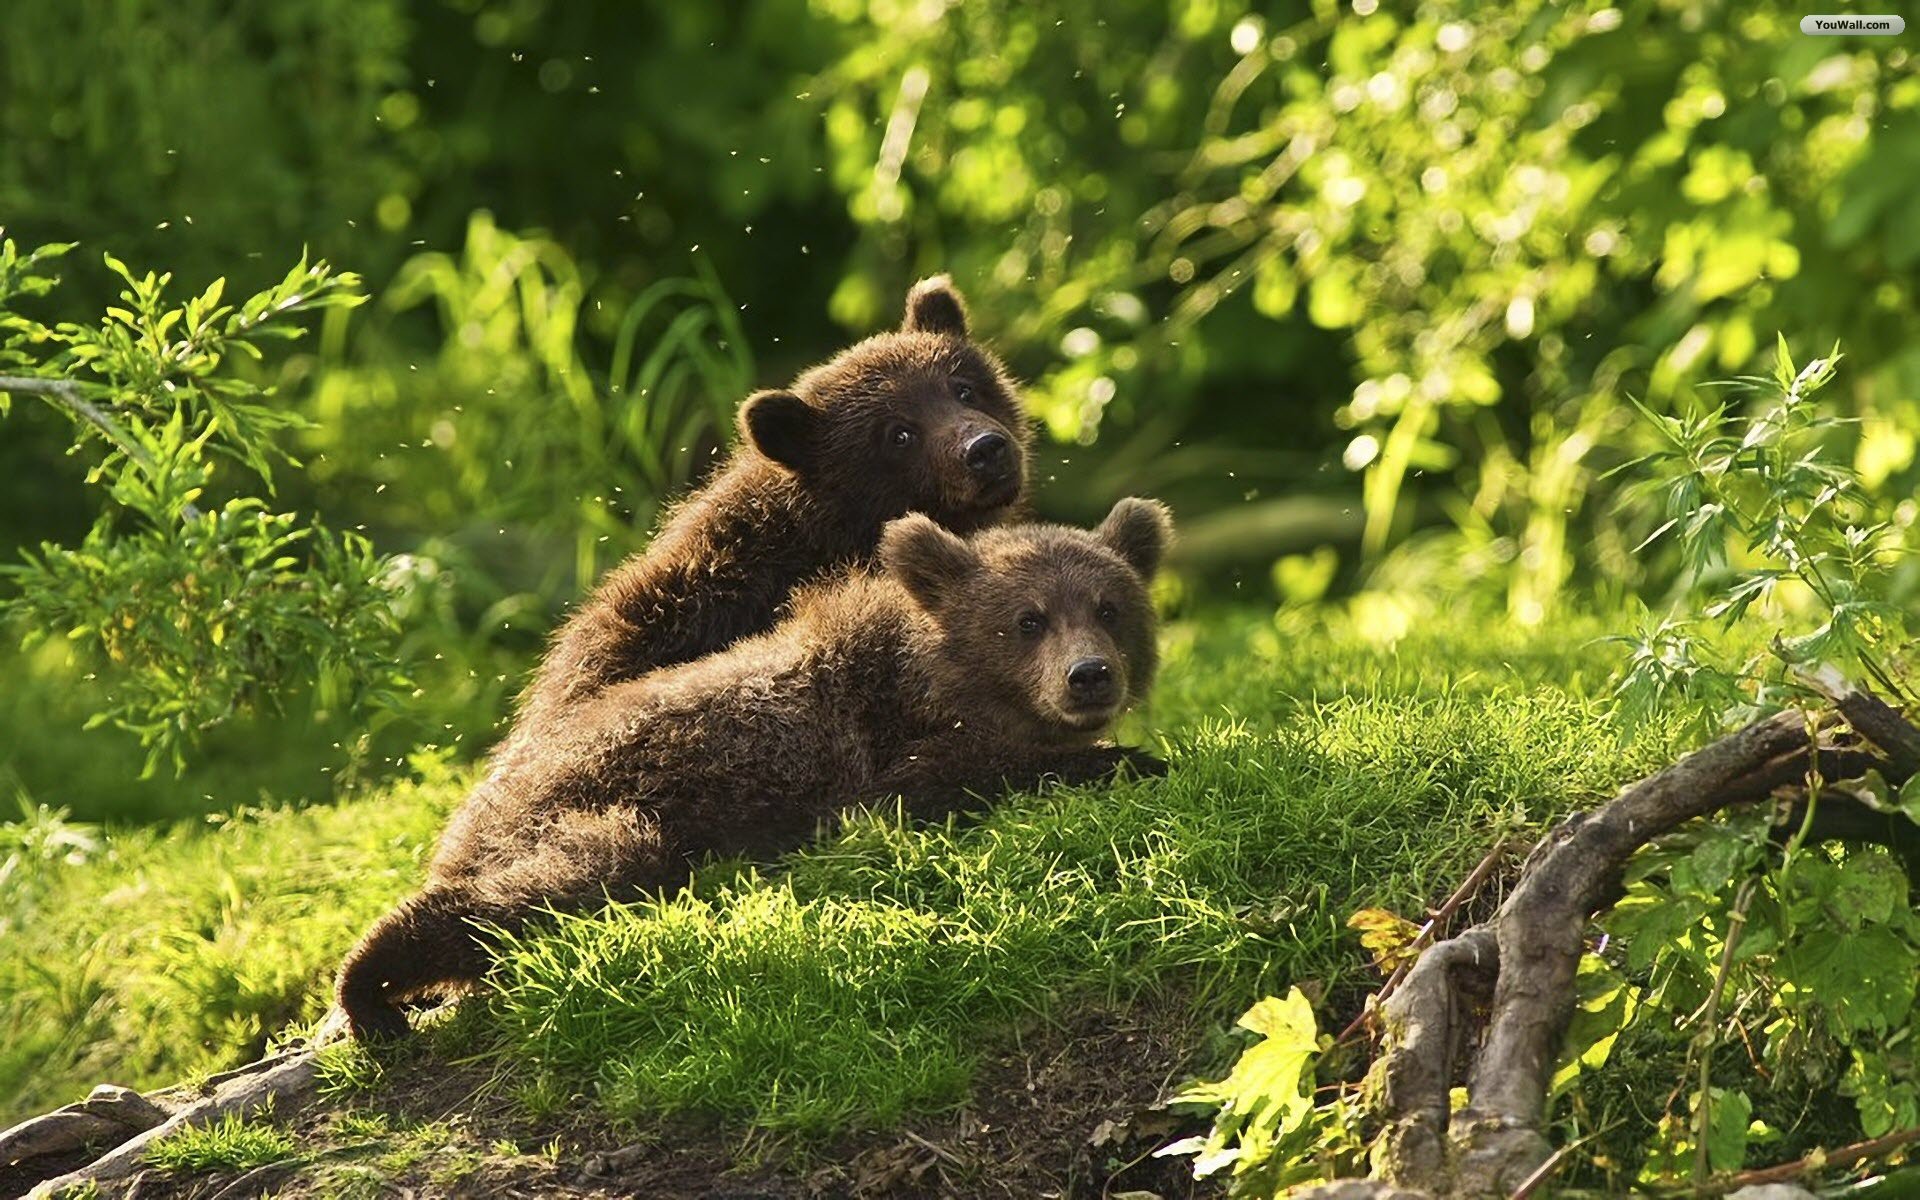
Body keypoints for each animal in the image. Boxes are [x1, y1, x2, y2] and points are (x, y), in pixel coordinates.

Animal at [335, 498, 1174, 1040]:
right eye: (1028, 619)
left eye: (1110, 607)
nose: (1090, 676)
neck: (932, 679)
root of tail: (469, 814)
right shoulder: (876, 757)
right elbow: (947, 780)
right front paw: (1132, 758)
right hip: (591, 807)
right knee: (558, 881)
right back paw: (372, 985)